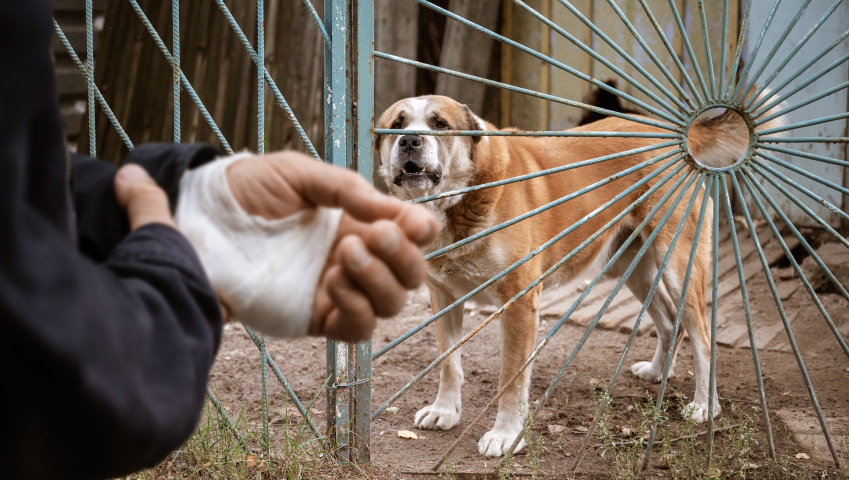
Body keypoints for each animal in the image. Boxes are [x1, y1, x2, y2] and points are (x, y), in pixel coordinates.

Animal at [374, 94, 784, 458]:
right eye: (397, 125)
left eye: (440, 125)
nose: (409, 140)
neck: (458, 202)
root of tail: (678, 136)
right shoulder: (443, 297)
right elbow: (449, 363)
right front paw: (445, 411)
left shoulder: (519, 303)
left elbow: (511, 379)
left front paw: (505, 435)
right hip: (633, 268)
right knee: (670, 322)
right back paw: (656, 372)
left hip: (678, 265)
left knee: (702, 337)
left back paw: (705, 405)